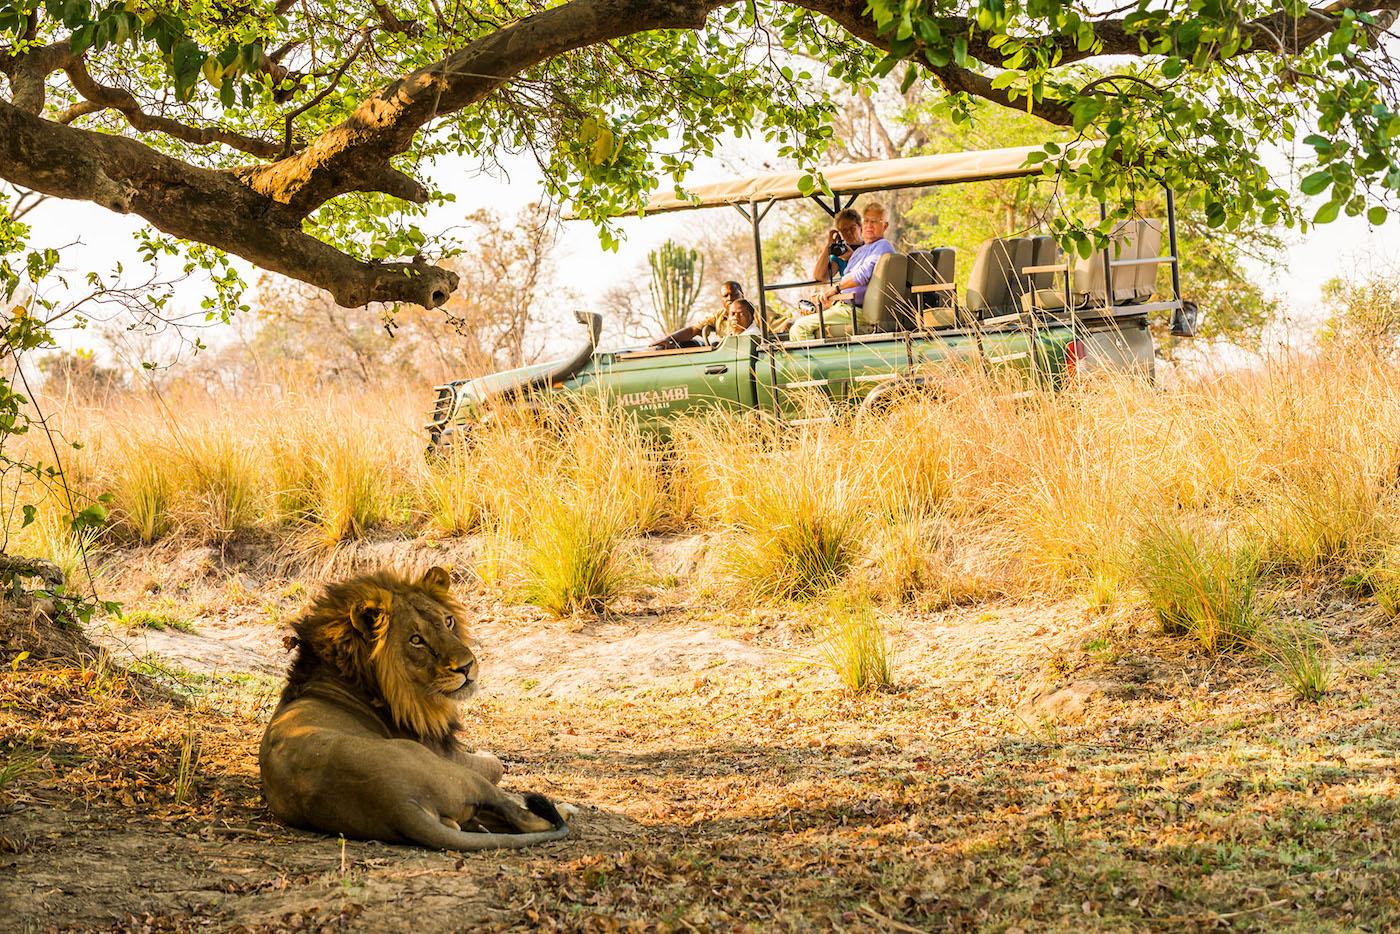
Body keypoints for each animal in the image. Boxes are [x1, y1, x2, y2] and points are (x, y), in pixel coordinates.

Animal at [263, 565, 568, 851]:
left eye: (448, 621)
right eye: (416, 640)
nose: (467, 666)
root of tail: (398, 806)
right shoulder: (449, 755)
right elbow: (496, 764)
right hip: (451, 772)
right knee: (523, 817)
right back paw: (559, 809)